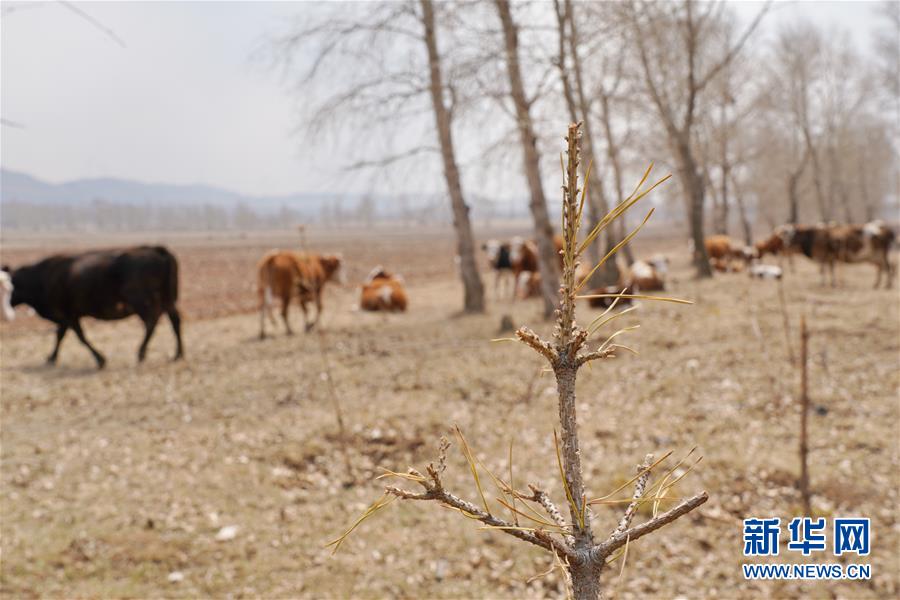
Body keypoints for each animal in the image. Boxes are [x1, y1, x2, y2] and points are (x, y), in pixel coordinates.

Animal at [0, 246, 185, 368]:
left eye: (10, 286)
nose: (8, 310)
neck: (42, 279)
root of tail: (157, 249)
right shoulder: (67, 316)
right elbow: (61, 336)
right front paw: (52, 358)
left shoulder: (68, 314)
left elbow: (79, 336)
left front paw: (100, 359)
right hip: (167, 299)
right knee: (174, 320)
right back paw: (178, 354)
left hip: (141, 301)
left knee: (151, 322)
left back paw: (141, 352)